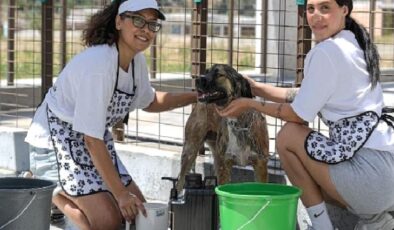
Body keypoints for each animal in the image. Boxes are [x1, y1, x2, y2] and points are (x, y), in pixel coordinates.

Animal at [177, 63, 270, 191]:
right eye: (206, 72)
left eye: (219, 74)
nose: (197, 79)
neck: (238, 123)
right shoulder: (224, 166)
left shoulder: (261, 165)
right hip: (190, 151)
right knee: (179, 183)